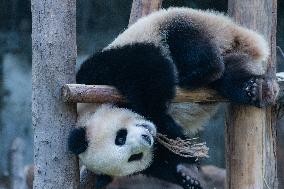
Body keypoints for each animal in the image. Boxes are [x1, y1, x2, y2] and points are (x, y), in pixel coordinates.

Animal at [68, 7, 278, 189]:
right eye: (133, 157)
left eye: (120, 137)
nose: (147, 137)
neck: (90, 110)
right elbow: (162, 161)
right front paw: (187, 173)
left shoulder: (96, 75)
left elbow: (145, 71)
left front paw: (170, 131)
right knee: (232, 73)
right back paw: (256, 88)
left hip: (182, 23)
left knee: (189, 44)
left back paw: (201, 74)